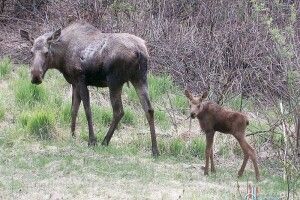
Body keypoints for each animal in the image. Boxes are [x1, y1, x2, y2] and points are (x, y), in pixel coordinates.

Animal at [19, 21, 161, 156]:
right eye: (31, 52)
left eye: (46, 52)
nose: (36, 76)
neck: (61, 58)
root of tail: (139, 52)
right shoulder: (74, 83)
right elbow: (73, 110)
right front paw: (72, 135)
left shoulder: (81, 80)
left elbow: (87, 110)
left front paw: (92, 140)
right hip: (140, 79)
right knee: (149, 109)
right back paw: (155, 150)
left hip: (115, 81)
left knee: (119, 111)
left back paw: (105, 141)